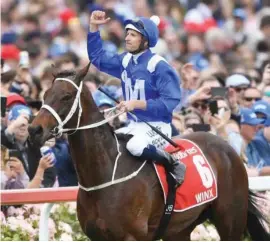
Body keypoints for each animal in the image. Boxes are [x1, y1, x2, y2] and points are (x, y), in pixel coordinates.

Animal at [28, 63, 268, 241]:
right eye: (46, 94)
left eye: (67, 96)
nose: (34, 129)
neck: (104, 175)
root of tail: (228, 149)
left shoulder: (132, 236)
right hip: (180, 229)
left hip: (230, 221)